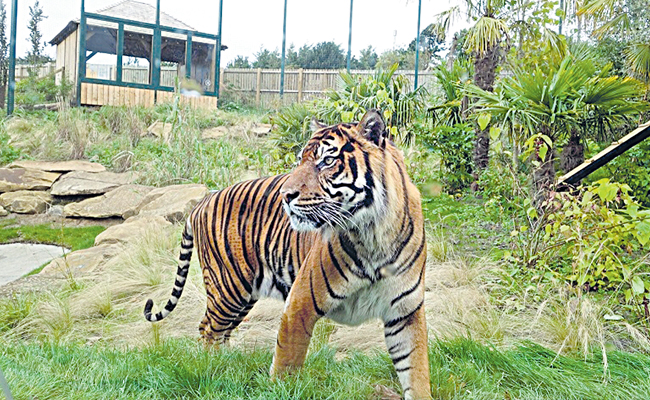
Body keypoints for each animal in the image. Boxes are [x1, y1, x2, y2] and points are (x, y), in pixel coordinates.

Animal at [143, 109, 431, 399]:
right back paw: (212, 370)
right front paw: (280, 389)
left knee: (221, 332)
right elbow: (287, 361)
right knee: (208, 330)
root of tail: (202, 202)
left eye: (327, 161)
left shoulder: (405, 312)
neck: (374, 232)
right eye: (300, 160)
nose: (285, 195)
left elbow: (416, 370)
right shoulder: (300, 302)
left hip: (243, 297)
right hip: (228, 289)